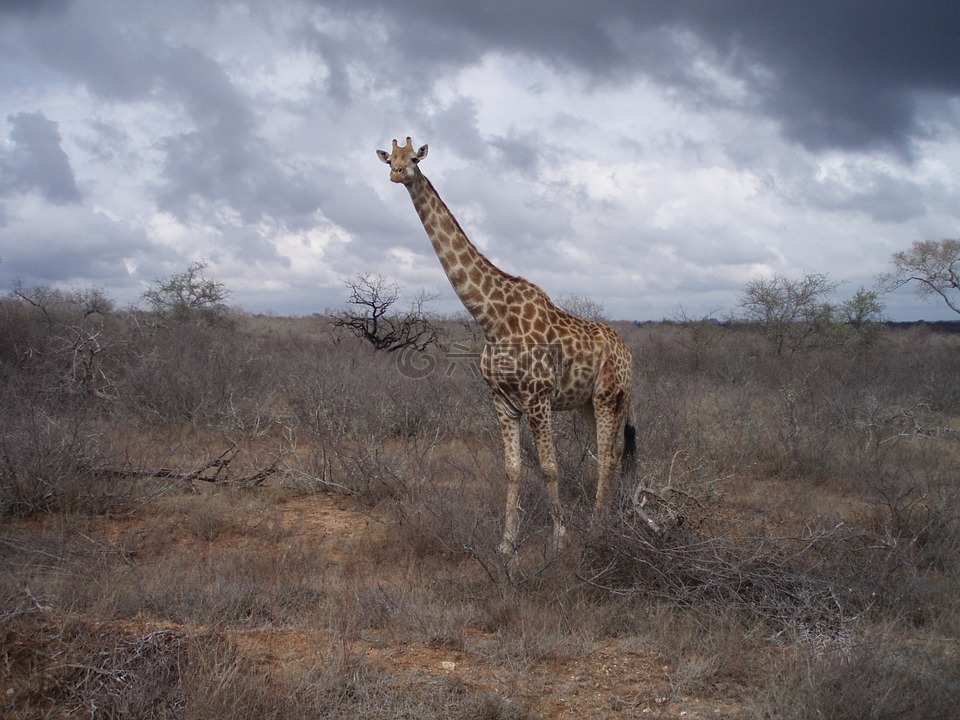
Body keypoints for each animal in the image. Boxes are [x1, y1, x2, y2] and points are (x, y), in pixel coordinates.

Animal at [376, 138, 636, 560]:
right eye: (391, 159)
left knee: (608, 456)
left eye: (413, 158)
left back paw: (599, 527)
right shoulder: (501, 399)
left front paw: (559, 539)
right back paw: (606, 521)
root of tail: (629, 354)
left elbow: (549, 467)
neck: (491, 317)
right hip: (587, 403)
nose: (397, 174)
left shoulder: (538, 396)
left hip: (610, 397)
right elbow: (512, 469)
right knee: (609, 454)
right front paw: (506, 543)